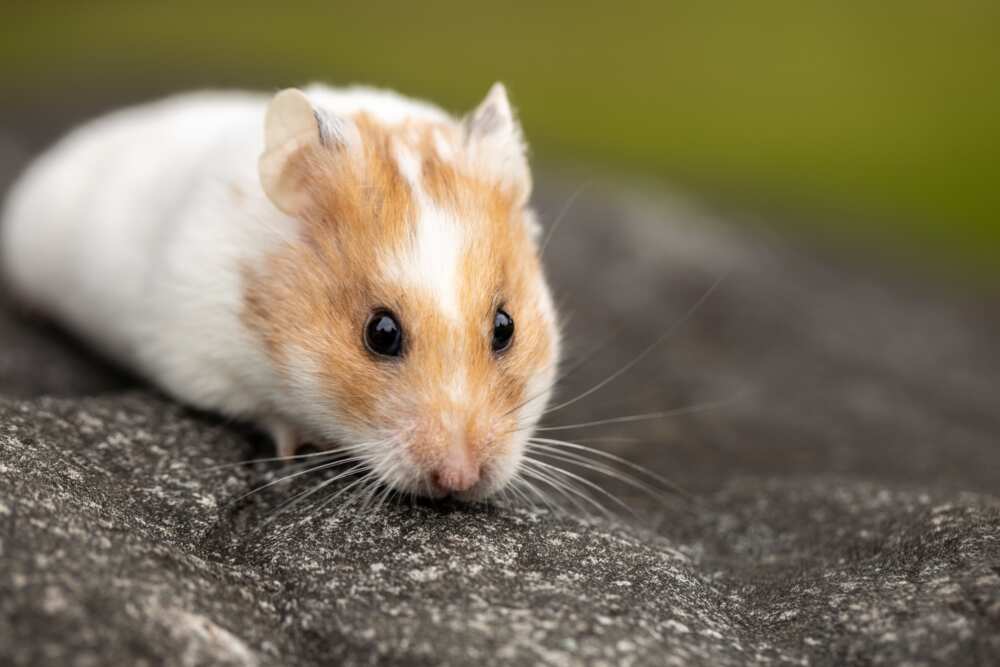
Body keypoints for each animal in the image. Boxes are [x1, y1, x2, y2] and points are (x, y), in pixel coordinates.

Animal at [0, 83, 560, 500]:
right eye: (380, 333)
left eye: (505, 327)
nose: (459, 481)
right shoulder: (196, 356)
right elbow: (268, 413)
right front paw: (302, 442)